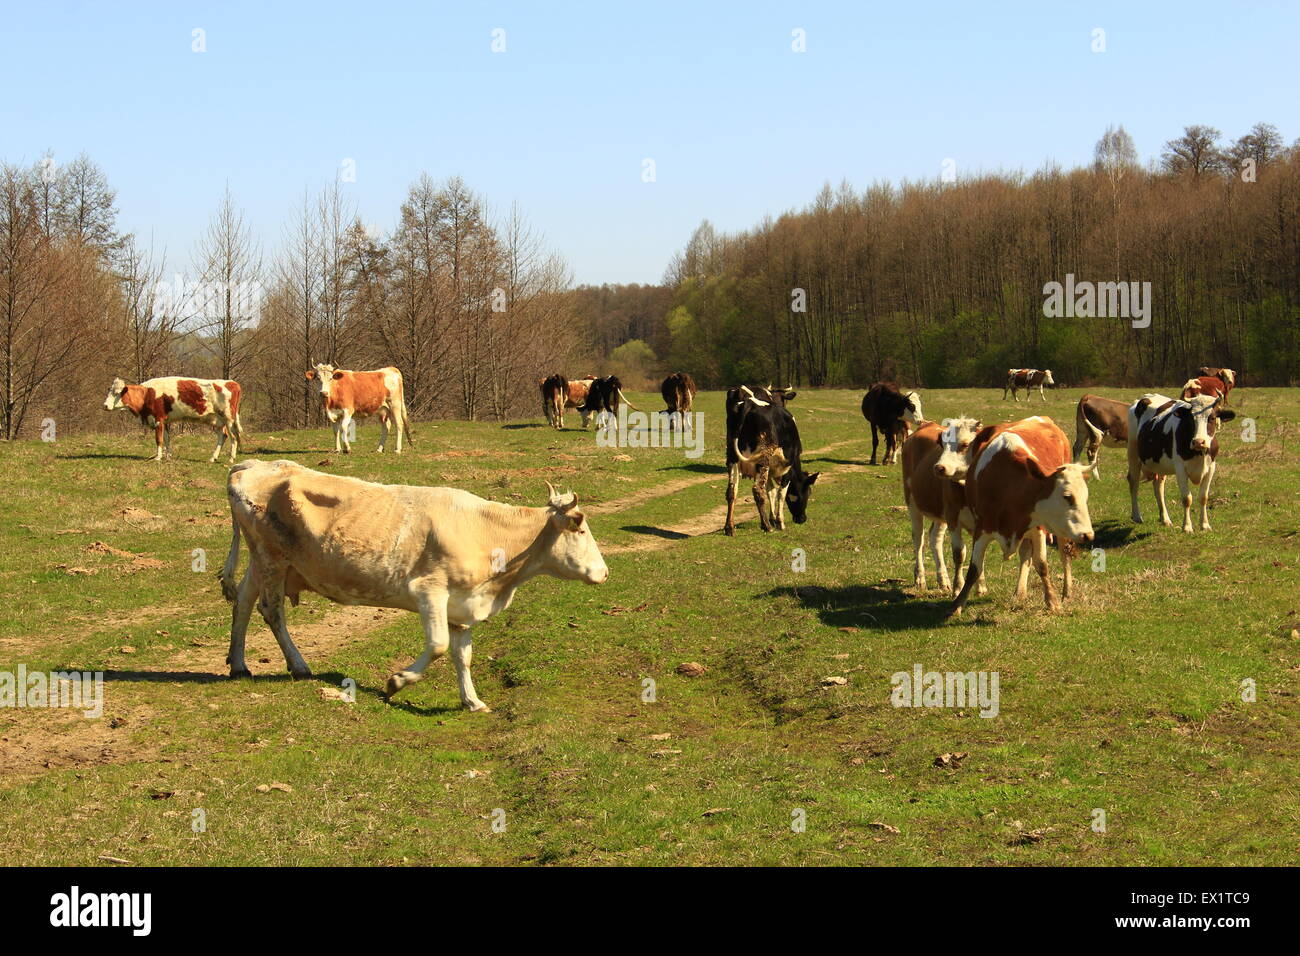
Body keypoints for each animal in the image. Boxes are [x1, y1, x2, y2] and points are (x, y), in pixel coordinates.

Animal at [103, 376, 246, 462]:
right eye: (109, 392)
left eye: (117, 393)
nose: (104, 405)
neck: (147, 394)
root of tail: (232, 382)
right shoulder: (164, 421)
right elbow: (167, 439)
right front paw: (168, 456)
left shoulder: (158, 419)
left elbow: (159, 440)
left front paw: (158, 457)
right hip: (217, 420)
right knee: (223, 436)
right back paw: (213, 458)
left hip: (228, 418)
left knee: (233, 437)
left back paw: (231, 458)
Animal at [218, 460, 608, 712]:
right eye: (580, 529)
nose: (604, 573)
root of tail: (252, 465)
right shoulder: (429, 590)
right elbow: (437, 646)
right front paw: (397, 682)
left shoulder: (463, 606)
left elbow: (463, 655)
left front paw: (472, 700)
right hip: (271, 558)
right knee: (271, 610)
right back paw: (298, 666)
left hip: (264, 563)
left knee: (243, 601)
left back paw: (238, 664)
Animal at [724, 385, 816, 535]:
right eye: (808, 493)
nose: (802, 519)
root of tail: (749, 403)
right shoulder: (787, 470)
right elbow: (781, 493)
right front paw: (779, 522)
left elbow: (771, 491)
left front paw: (773, 518)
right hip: (763, 459)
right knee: (757, 490)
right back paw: (766, 526)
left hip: (733, 457)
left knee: (732, 491)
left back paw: (729, 528)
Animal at [947, 417, 1095, 617]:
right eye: (1067, 496)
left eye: (1085, 497)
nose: (1088, 535)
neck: (1006, 484)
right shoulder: (982, 529)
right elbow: (974, 569)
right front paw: (958, 604)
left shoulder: (1037, 528)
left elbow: (1042, 565)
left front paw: (1052, 601)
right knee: (1025, 554)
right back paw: (1020, 592)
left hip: (1059, 532)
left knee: (1064, 553)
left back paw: (1067, 591)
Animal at [1126, 393, 1235, 533]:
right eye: (1191, 418)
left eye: (1212, 417)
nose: (1199, 441)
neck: (1199, 453)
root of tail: (1147, 396)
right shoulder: (1180, 468)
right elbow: (1187, 498)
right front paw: (1187, 526)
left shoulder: (1211, 467)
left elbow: (1204, 497)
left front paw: (1205, 525)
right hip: (1133, 452)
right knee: (1134, 483)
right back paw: (1136, 516)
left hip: (1159, 464)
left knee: (1158, 487)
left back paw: (1165, 519)